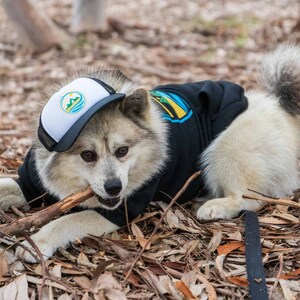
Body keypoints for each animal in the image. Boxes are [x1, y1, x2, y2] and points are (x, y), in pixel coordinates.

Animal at [0, 43, 300, 262]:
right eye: (87, 155)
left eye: (122, 151)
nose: (113, 187)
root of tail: (281, 110)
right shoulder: (31, 182)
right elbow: (10, 186)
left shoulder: (118, 210)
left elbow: (65, 220)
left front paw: (38, 241)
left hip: (224, 149)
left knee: (251, 199)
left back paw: (215, 206)